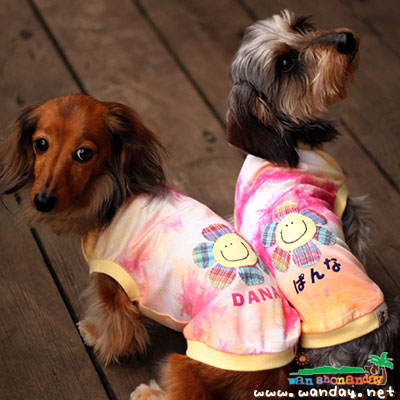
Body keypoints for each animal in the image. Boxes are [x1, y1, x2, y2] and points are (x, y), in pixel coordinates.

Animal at [0, 94, 301, 399]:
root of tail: (273, 375)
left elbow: (116, 328)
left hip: (184, 360)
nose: (43, 201)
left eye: (84, 153)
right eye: (41, 144)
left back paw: (150, 392)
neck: (112, 196)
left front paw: (96, 335)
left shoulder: (112, 286)